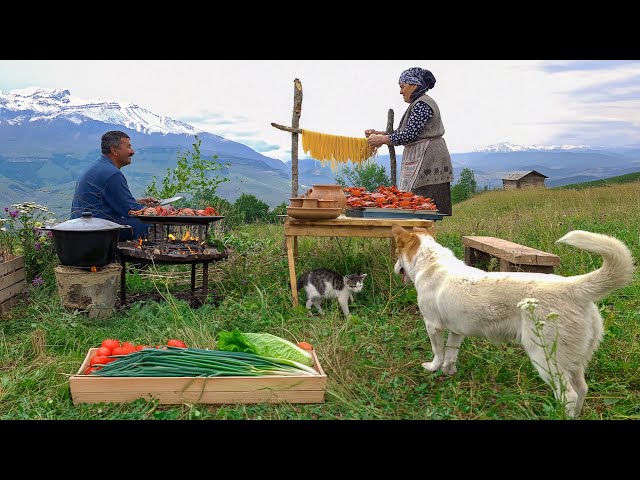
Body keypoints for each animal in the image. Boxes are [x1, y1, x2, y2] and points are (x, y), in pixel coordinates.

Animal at [390, 225, 636, 416]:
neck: (431, 263)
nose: (394, 270)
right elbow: (451, 354)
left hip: (545, 359)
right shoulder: (456, 331)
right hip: (573, 360)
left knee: (569, 394)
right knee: (582, 389)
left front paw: (433, 367)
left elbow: (438, 352)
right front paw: (448, 371)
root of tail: (573, 287)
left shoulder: (432, 325)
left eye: (397, 253)